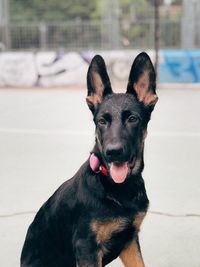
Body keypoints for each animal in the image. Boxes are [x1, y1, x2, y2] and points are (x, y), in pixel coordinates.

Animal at [20, 52, 158, 267]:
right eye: (102, 121)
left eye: (132, 119)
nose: (113, 152)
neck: (116, 187)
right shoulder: (87, 248)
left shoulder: (130, 242)